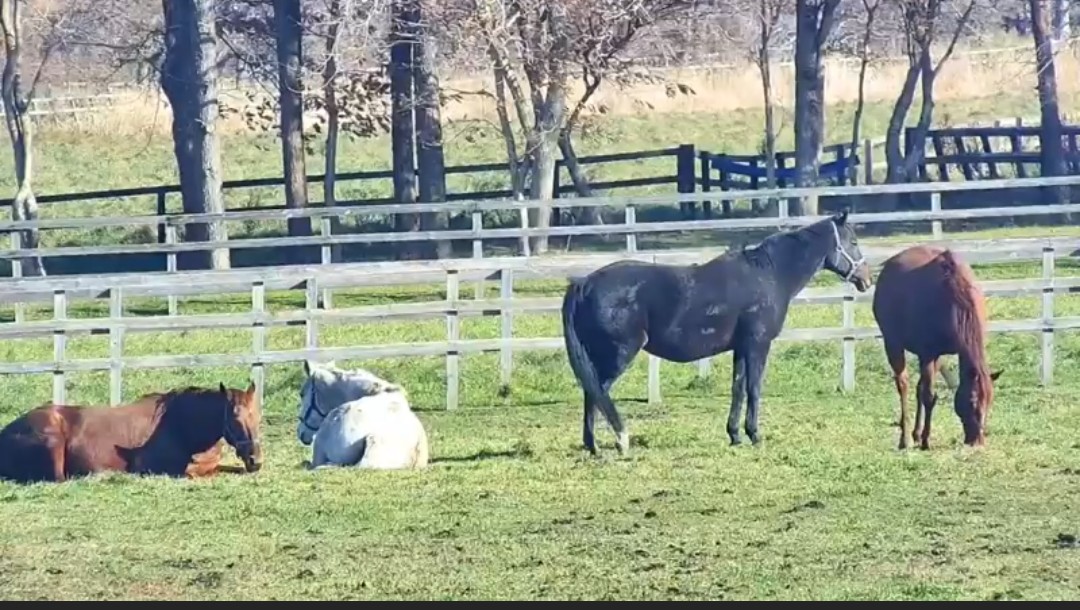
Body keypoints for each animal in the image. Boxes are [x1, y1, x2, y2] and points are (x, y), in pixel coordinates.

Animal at [561, 210, 872, 455]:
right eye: (854, 242)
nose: (866, 279)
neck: (769, 275)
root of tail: (584, 284)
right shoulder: (758, 344)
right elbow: (754, 388)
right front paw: (755, 435)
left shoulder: (741, 348)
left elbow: (738, 387)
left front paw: (735, 435)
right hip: (619, 353)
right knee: (598, 391)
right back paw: (618, 440)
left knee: (591, 392)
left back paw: (593, 446)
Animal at [871, 245, 1002, 450]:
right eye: (972, 401)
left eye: (989, 401)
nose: (977, 442)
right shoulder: (927, 353)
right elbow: (929, 396)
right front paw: (925, 440)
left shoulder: (940, 355)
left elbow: (925, 392)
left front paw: (921, 436)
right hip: (892, 344)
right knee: (903, 384)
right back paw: (905, 438)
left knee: (918, 387)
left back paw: (915, 434)